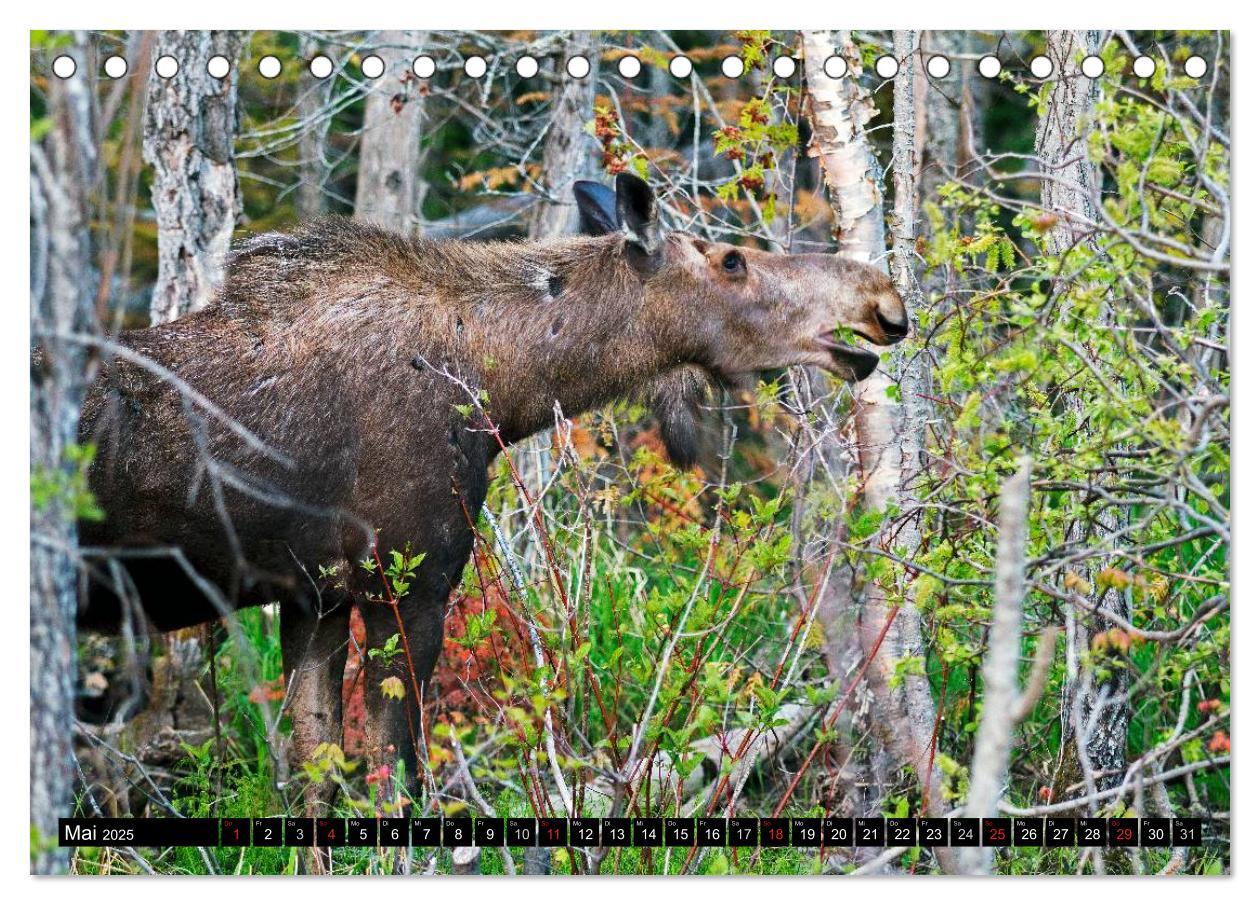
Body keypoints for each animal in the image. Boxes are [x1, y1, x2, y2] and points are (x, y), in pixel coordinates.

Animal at [78, 173, 907, 811]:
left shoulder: (317, 597)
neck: (498, 390)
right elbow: (396, 782)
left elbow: (319, 781)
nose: (882, 298)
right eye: (733, 261)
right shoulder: (409, 584)